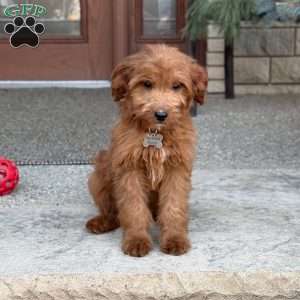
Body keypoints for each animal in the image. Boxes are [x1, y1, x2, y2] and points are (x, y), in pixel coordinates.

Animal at [86, 43, 207, 256]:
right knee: (113, 211)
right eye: (147, 84)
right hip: (99, 172)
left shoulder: (177, 168)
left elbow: (174, 206)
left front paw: (175, 238)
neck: (155, 132)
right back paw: (102, 221)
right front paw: (136, 240)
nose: (161, 114)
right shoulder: (129, 167)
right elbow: (133, 208)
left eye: (177, 86)